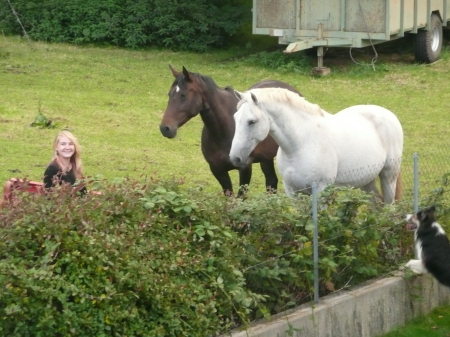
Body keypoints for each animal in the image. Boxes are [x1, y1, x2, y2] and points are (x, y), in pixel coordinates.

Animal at [158, 65, 302, 196]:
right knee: (271, 183)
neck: (223, 131)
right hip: (266, 158)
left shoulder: (244, 167)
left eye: (183, 95)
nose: (165, 128)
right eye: (169, 94)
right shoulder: (217, 169)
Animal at [229, 87, 404, 202]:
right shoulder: (294, 192)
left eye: (252, 121)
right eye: (235, 118)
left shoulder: (320, 191)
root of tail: (389, 114)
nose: (235, 158)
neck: (301, 144)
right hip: (365, 181)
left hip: (388, 176)